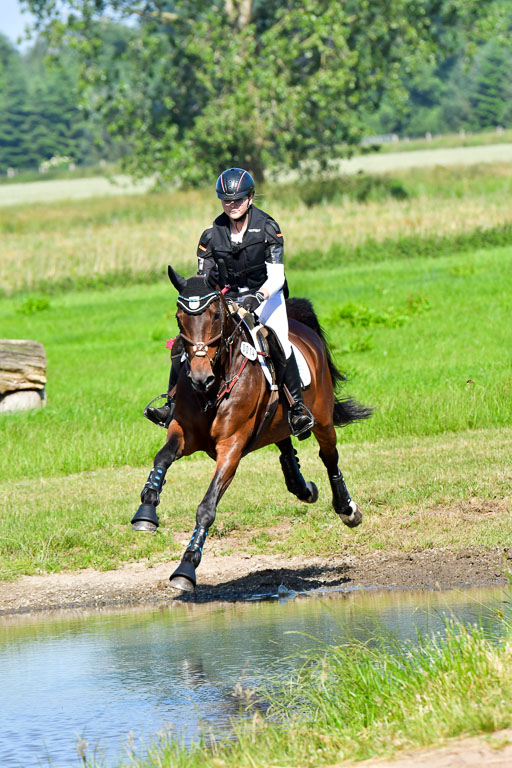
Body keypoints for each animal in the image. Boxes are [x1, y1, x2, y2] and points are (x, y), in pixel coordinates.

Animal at [132, 267, 372, 593]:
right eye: (180, 318)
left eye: (216, 316)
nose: (200, 378)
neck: (215, 387)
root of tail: (302, 327)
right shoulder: (183, 432)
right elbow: (162, 458)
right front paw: (146, 511)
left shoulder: (231, 448)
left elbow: (207, 506)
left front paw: (186, 567)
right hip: (277, 422)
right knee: (285, 445)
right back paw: (303, 487)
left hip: (322, 419)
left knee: (329, 457)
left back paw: (347, 509)